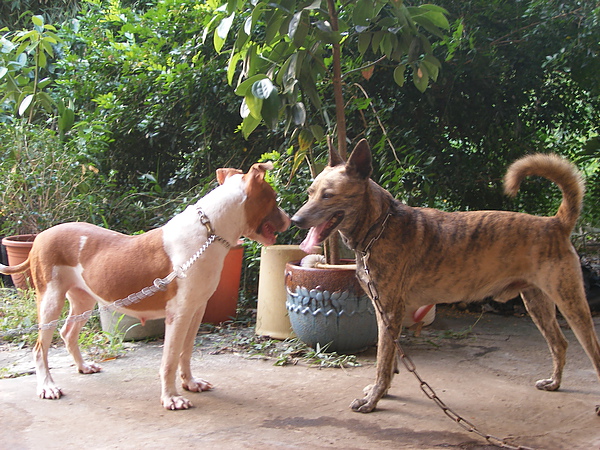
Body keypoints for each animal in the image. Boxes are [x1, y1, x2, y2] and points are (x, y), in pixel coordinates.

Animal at [0, 163, 290, 410]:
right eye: (275, 199)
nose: (291, 219)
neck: (208, 232)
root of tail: (39, 237)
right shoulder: (178, 314)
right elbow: (170, 359)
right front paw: (171, 398)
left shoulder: (196, 310)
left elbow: (186, 352)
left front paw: (190, 383)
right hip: (50, 299)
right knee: (40, 347)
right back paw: (47, 386)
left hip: (83, 299)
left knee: (68, 333)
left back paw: (83, 367)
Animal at [292, 140, 600, 414]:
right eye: (310, 192)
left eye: (329, 195)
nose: (295, 220)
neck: (379, 225)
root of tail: (556, 223)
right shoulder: (386, 313)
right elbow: (390, 361)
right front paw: (383, 392)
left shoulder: (389, 311)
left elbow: (382, 362)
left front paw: (373, 400)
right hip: (538, 303)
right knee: (559, 343)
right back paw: (555, 382)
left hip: (572, 302)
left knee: (593, 350)